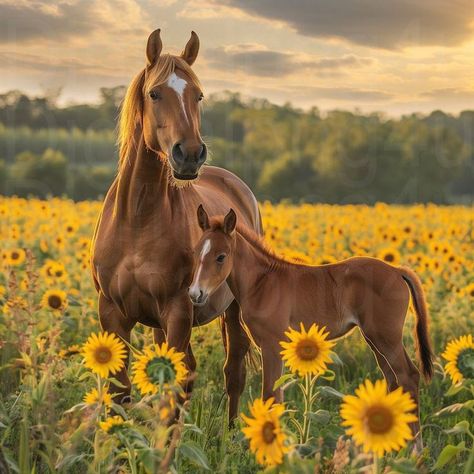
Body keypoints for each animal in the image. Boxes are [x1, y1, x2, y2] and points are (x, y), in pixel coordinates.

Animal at [90, 28, 262, 418]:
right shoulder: (113, 315)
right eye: (155, 93)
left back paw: (231, 433)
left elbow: (174, 390)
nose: (191, 154)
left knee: (233, 371)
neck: (137, 219)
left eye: (198, 95)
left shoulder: (178, 312)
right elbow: (121, 392)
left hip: (233, 311)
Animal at [188, 207, 434, 444]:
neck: (262, 283)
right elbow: (277, 397)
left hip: (386, 338)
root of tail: (397, 270)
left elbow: (270, 396)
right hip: (376, 339)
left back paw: (414, 449)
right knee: (394, 381)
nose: (195, 293)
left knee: (408, 377)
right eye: (196, 252)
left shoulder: (271, 345)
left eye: (221, 256)